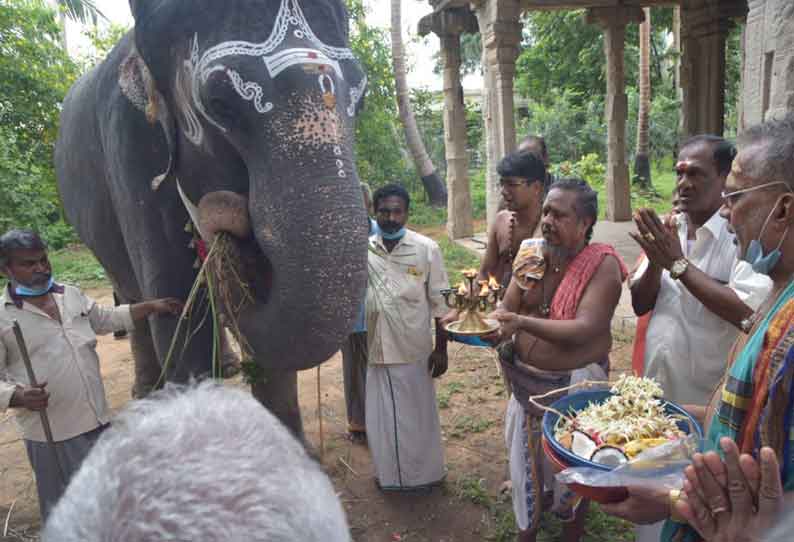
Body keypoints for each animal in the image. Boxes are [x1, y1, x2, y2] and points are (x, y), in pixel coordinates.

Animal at [54, 0, 370, 442]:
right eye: (219, 105)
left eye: (363, 98)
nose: (227, 217)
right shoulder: (132, 150)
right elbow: (180, 323)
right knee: (131, 298)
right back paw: (146, 392)